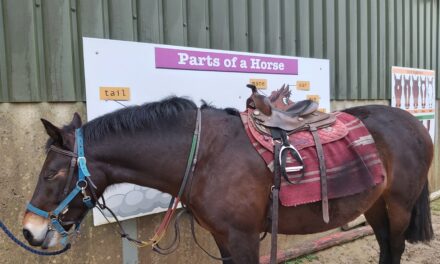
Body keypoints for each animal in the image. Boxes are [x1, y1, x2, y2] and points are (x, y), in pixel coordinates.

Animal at [21, 97, 434, 264]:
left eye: (52, 172)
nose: (29, 230)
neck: (204, 157)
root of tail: (415, 124)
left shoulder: (244, 238)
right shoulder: (223, 238)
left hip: (398, 206)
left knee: (395, 248)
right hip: (375, 205)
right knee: (386, 247)